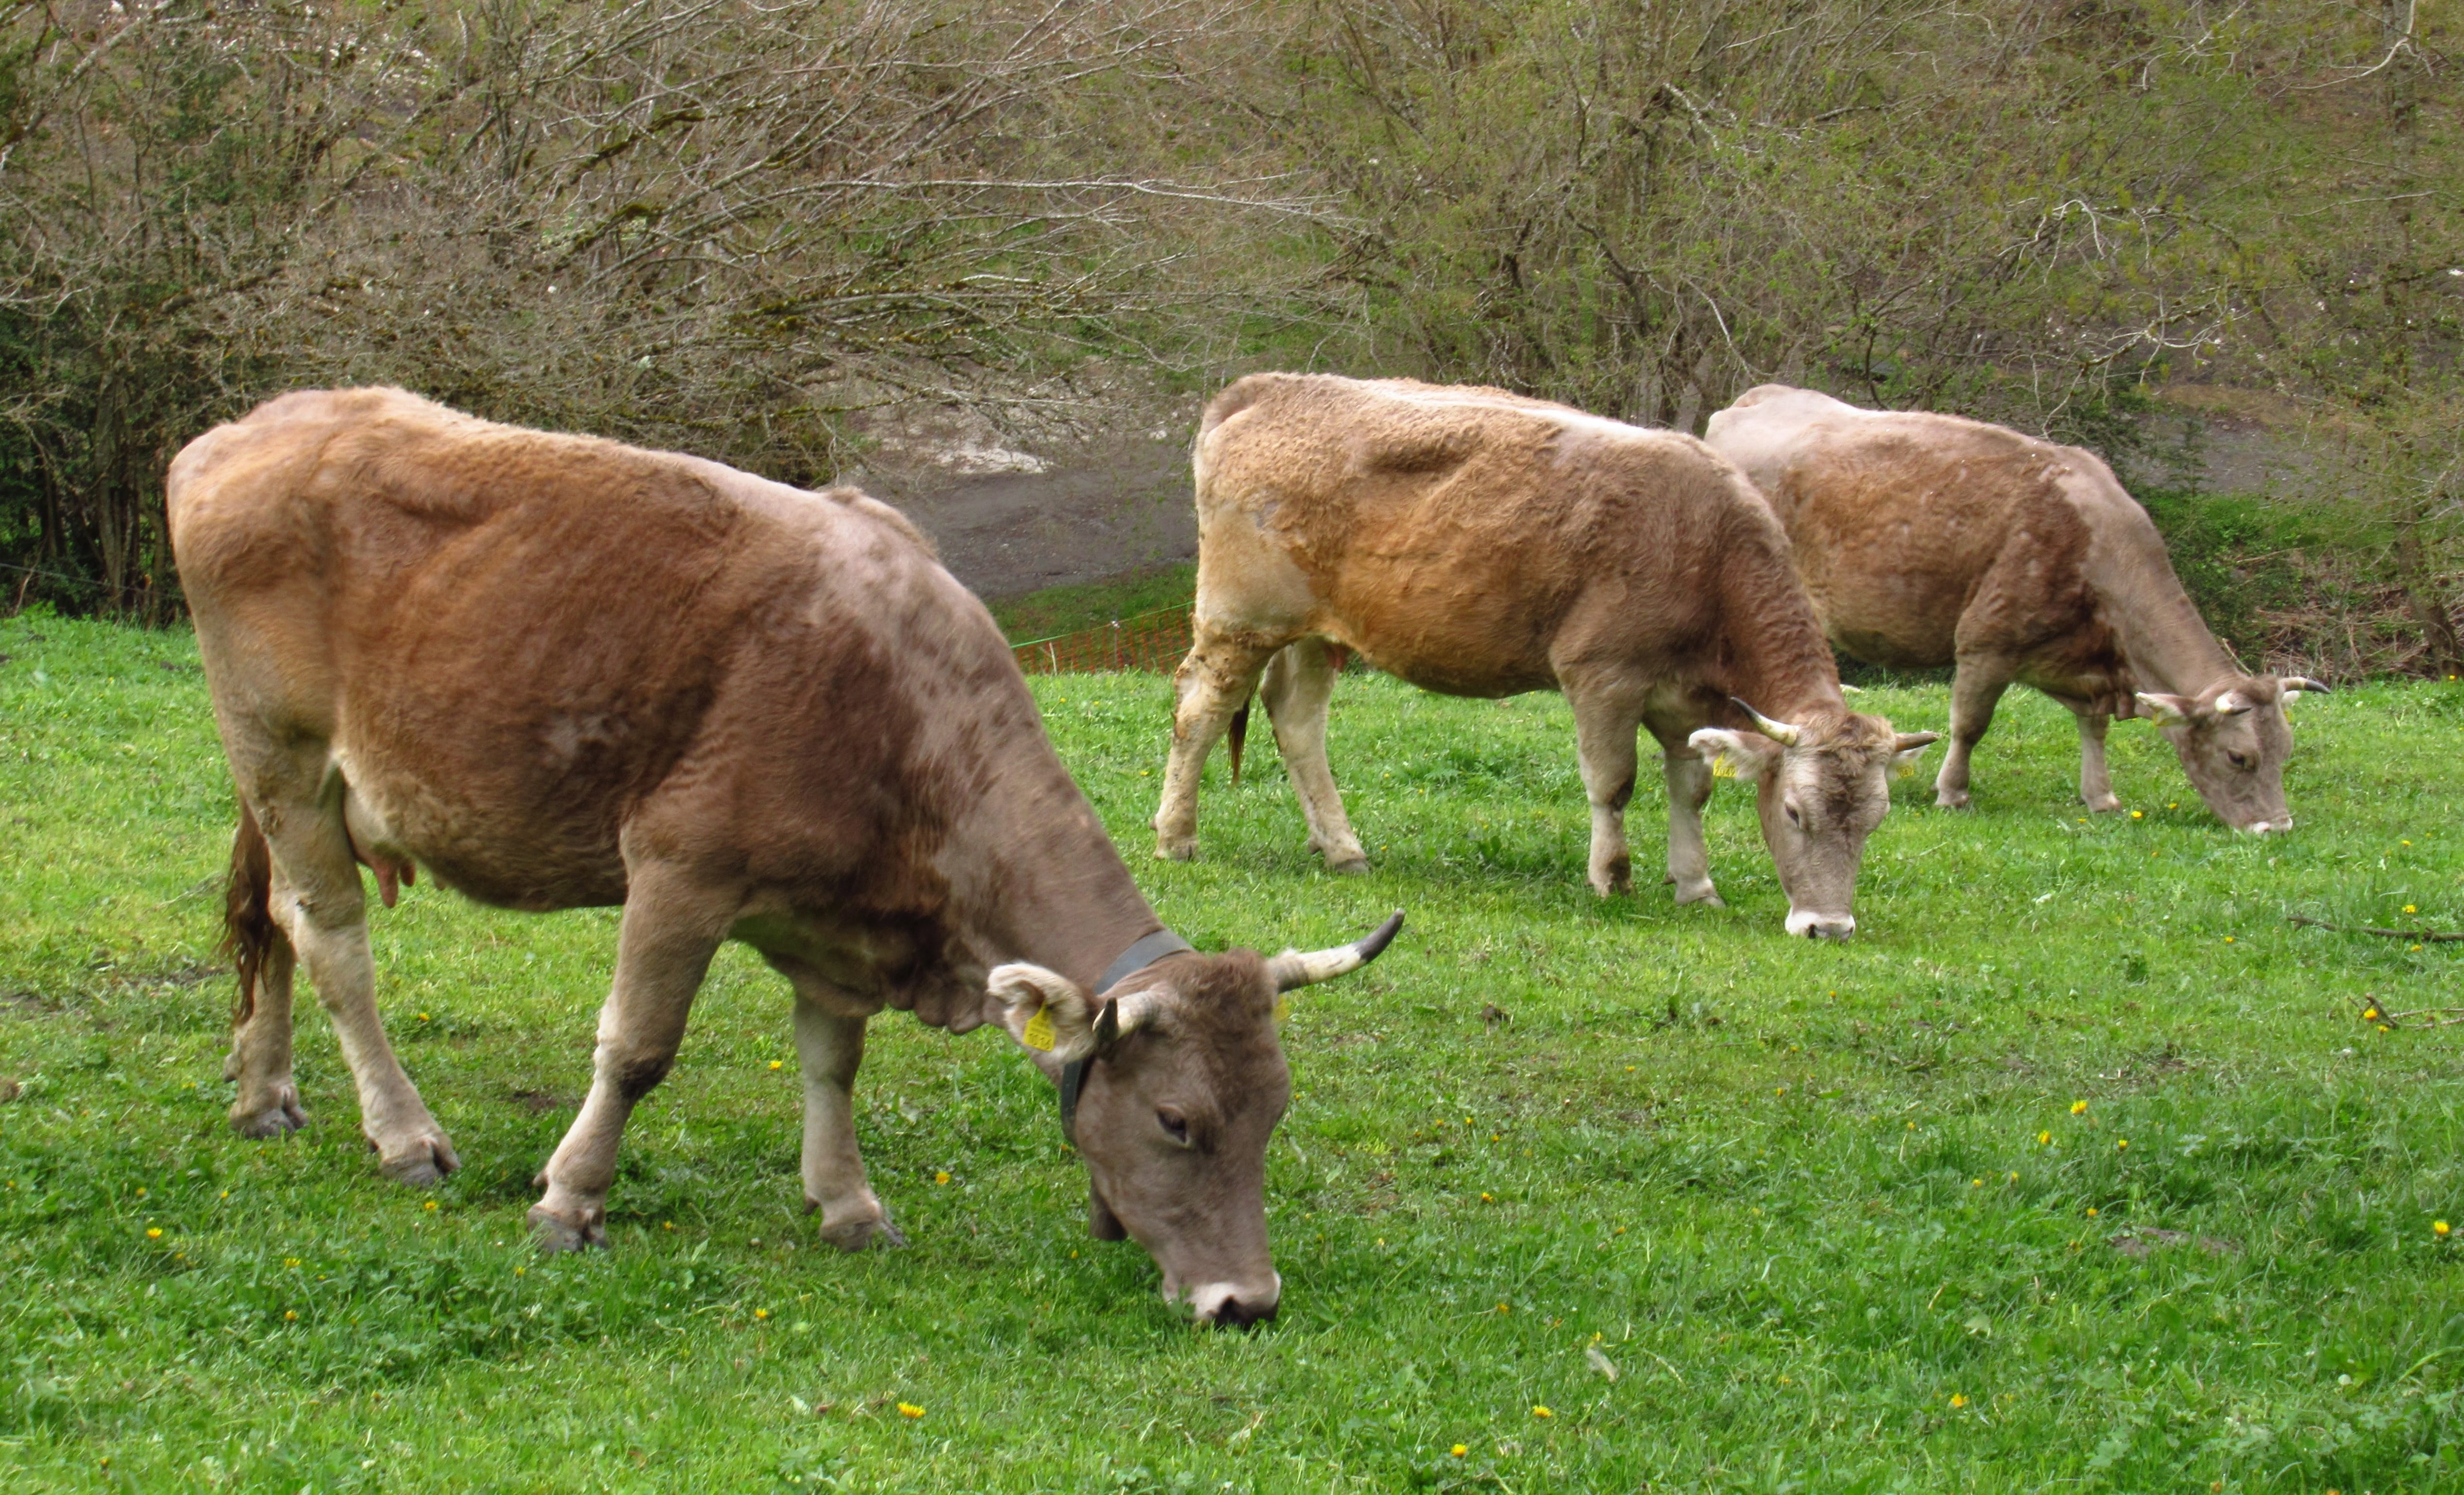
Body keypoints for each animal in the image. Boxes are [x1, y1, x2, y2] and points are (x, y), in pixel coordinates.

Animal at [169, 391, 1409, 1330]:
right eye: (1176, 1122)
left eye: (1274, 1115)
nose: (1246, 1300)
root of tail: (249, 425)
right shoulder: (679, 867)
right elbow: (637, 1050)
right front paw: (570, 1202)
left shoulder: (836, 919)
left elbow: (832, 1061)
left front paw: (847, 1204)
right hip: (283, 757)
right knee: (332, 936)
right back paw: (404, 1134)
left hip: (282, 783)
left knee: (270, 919)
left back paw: (264, 1090)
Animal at [1143, 374, 1932, 936]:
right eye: (1795, 813)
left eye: (1875, 820)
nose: (1829, 927)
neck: (1704, 544)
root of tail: (1268, 386)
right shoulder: (1603, 674)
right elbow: (1614, 783)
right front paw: (1613, 878)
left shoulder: (1690, 698)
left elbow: (1692, 788)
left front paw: (1696, 885)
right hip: (1241, 619)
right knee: (1199, 710)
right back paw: (1177, 836)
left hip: (1315, 632)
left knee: (1298, 721)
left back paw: (1342, 847)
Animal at [1715, 387, 2326, 832]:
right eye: (2239, 757)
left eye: (2286, 752)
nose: (2277, 828)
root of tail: (1751, 399)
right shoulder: (1987, 641)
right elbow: (1969, 724)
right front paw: (1952, 792)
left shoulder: (2070, 655)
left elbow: (2093, 725)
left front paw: (2100, 796)